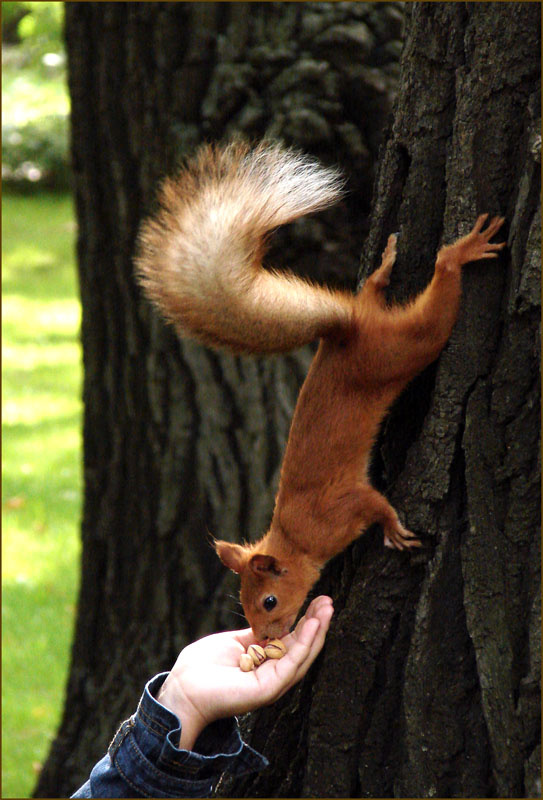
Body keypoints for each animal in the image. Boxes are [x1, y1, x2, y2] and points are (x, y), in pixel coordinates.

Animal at [135, 140, 505, 642]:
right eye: (243, 605)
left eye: (269, 601)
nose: (264, 639)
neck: (295, 539)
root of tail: (350, 330)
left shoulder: (340, 510)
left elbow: (377, 503)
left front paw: (395, 530)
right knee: (372, 293)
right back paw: (383, 269)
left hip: (396, 352)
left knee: (435, 304)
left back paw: (461, 252)